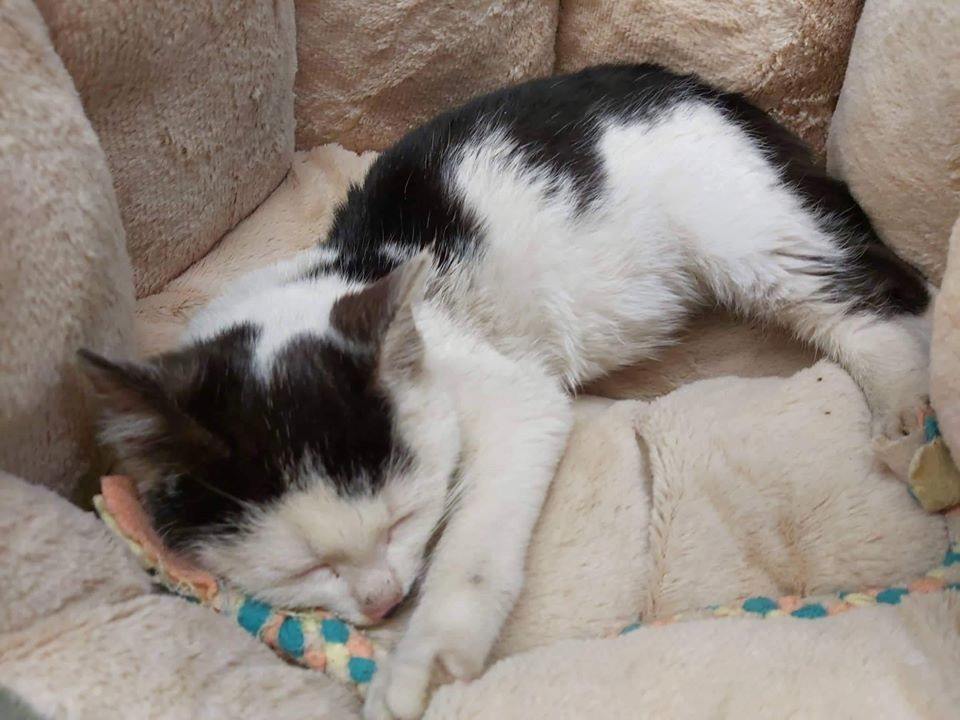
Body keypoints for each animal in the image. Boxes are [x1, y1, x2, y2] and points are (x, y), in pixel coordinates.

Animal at [80, 64, 931, 720]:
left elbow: (479, 536)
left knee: (881, 301)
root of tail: (715, 93)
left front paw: (425, 657)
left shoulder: (510, 391)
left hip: (740, 222)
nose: (383, 600)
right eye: (301, 569)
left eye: (402, 519)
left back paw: (911, 410)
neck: (339, 273)